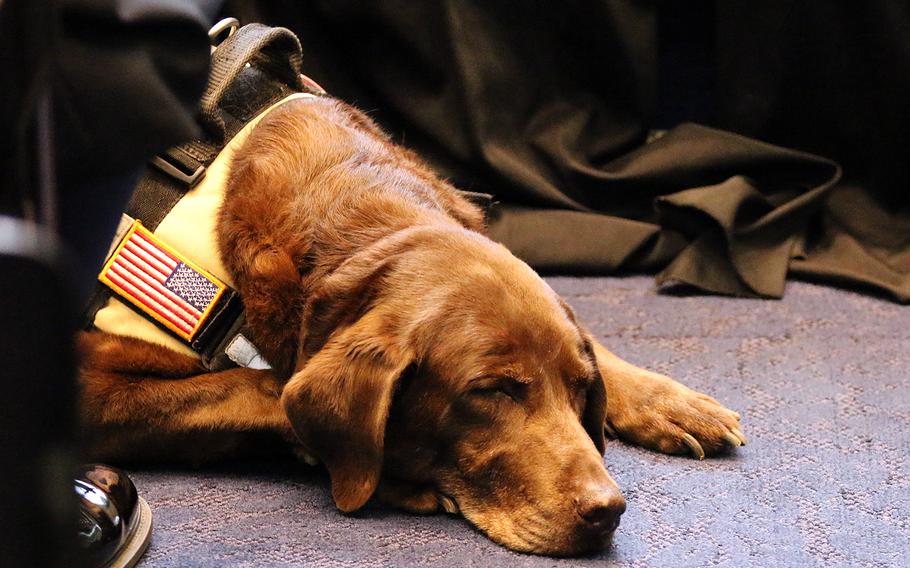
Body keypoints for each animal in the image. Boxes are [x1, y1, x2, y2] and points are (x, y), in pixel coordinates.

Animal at [80, 96, 748, 556]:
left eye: (582, 391)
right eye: (491, 391)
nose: (608, 510)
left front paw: (668, 402)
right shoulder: (90, 389)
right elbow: (266, 388)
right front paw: (390, 475)